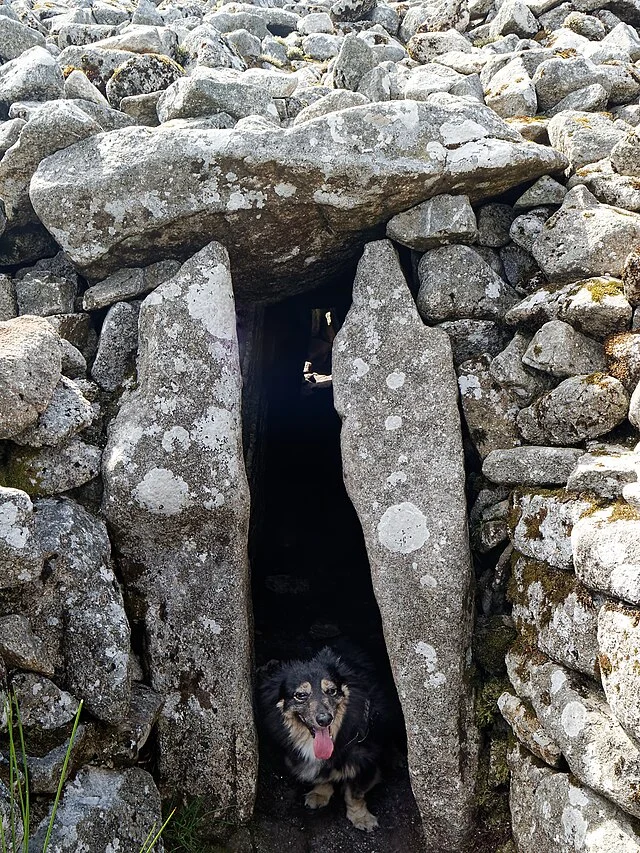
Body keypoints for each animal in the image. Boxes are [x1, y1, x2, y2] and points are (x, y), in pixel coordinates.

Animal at [256, 648, 390, 828]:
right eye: (301, 695)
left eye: (331, 691)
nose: (325, 719)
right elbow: (322, 776)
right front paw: (320, 793)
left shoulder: (365, 759)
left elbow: (355, 793)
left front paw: (361, 817)